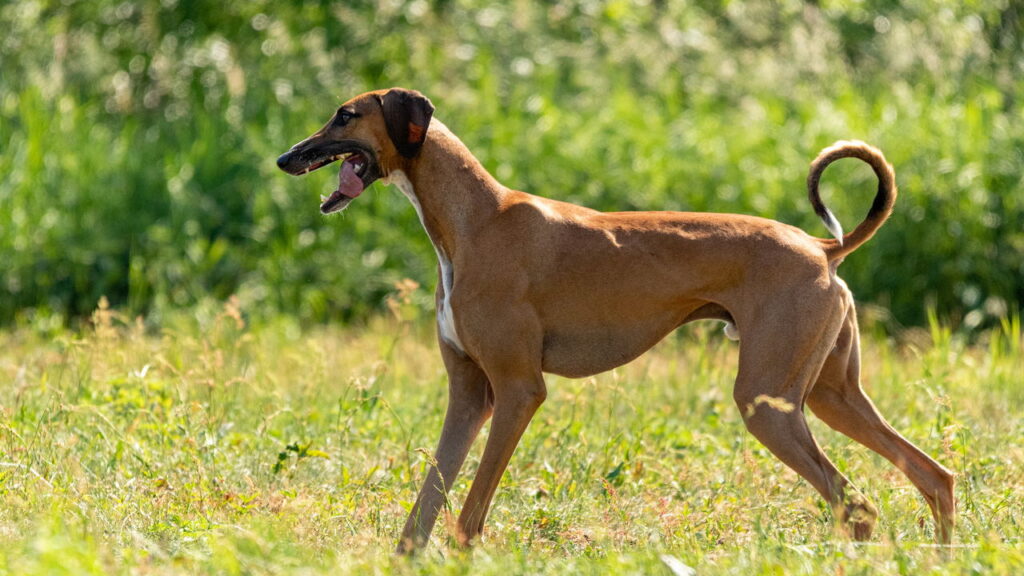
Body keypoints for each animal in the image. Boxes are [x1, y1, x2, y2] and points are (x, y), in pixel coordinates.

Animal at [277, 88, 955, 552]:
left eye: (345, 116)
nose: (286, 157)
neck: (476, 219)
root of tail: (822, 247)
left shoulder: (518, 392)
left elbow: (469, 513)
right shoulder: (469, 394)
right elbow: (425, 506)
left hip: (769, 403)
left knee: (857, 505)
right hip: (829, 396)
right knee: (933, 475)